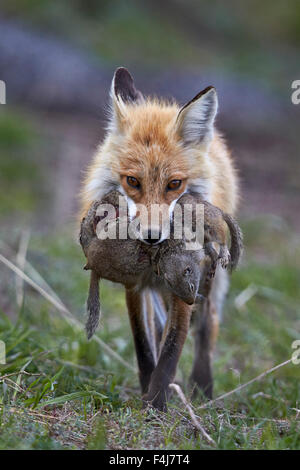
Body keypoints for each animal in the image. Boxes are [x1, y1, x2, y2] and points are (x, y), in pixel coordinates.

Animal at [79, 68, 239, 410]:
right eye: (132, 181)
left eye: (174, 184)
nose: (151, 238)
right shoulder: (134, 284)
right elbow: (144, 344)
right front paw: (147, 395)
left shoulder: (186, 279)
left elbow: (172, 349)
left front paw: (155, 407)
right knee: (160, 325)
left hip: (209, 282)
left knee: (208, 325)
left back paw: (202, 389)